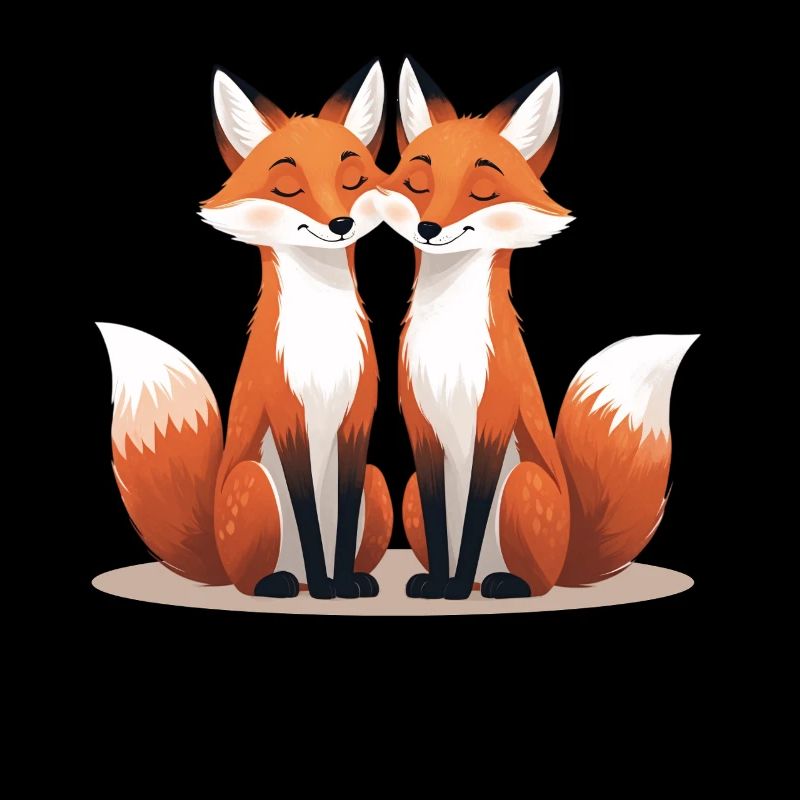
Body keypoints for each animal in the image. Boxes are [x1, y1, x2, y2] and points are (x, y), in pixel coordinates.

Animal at [97, 62, 393, 599]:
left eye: (354, 180)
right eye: (287, 186)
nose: (340, 223)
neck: (322, 345)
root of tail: (215, 550)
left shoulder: (357, 420)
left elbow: (339, 524)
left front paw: (341, 583)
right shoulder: (287, 416)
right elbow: (307, 516)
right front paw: (327, 588)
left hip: (377, 484)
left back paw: (349, 578)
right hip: (252, 483)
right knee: (253, 577)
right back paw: (283, 583)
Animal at [372, 58, 698, 599]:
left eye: (483, 190)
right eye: (418, 183)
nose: (428, 229)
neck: (449, 346)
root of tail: (569, 553)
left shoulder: (494, 421)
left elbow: (474, 517)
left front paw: (453, 590)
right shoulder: (422, 430)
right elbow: (444, 528)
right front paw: (439, 583)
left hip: (525, 485)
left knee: (537, 581)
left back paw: (501, 584)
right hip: (413, 493)